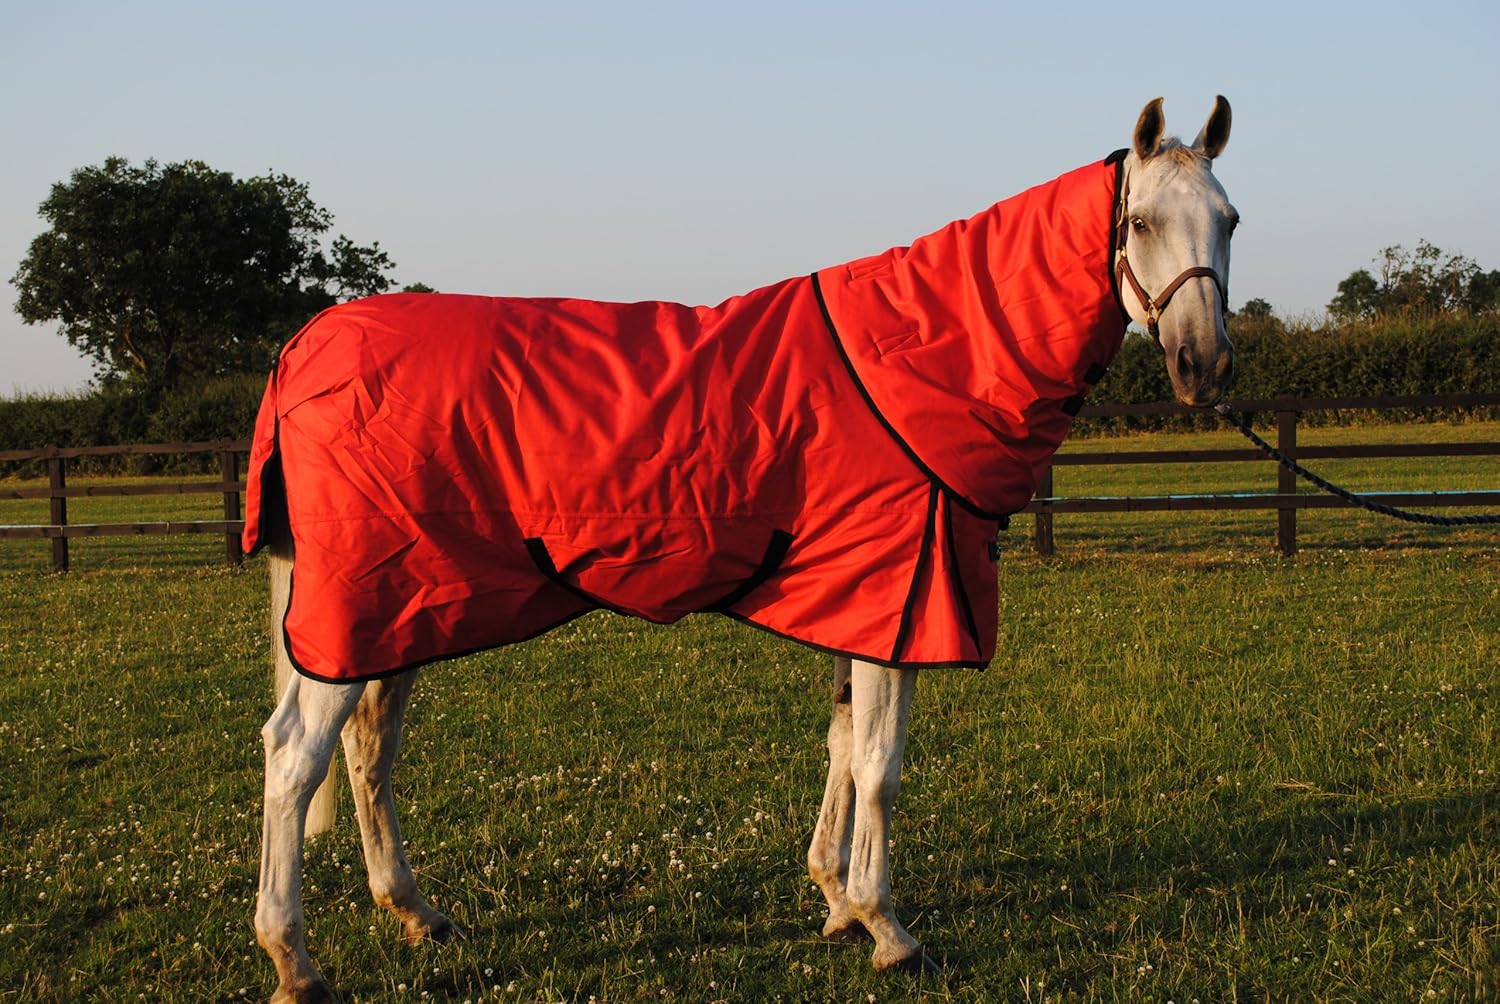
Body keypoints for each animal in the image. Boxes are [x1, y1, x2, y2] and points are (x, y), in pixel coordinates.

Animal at [248, 95, 1236, 1002]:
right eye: (1140, 222)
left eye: (1228, 220)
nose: (1205, 368)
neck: (924, 358)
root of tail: (304, 346)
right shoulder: (900, 600)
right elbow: (880, 767)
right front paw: (888, 928)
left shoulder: (859, 603)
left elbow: (841, 745)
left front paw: (836, 901)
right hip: (361, 605)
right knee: (294, 757)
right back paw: (294, 959)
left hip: (406, 607)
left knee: (371, 748)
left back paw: (415, 912)